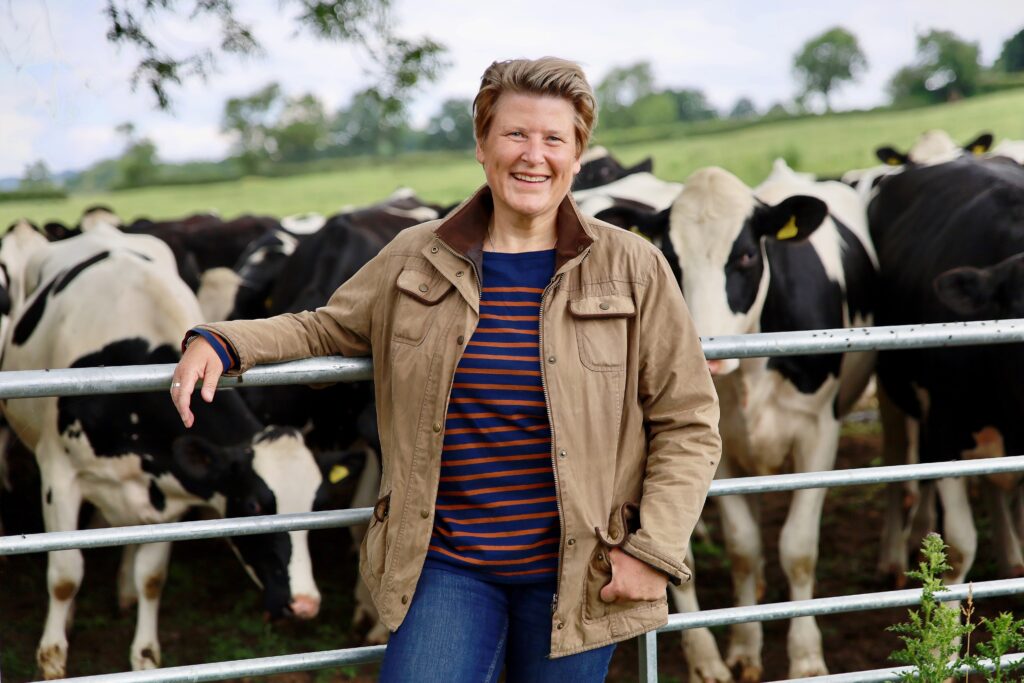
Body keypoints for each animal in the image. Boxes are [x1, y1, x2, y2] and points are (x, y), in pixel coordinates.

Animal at [1, 229, 339, 679]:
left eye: (319, 506)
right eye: (253, 504)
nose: (303, 604)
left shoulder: (168, 498)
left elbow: (152, 578)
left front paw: (145, 658)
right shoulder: (58, 476)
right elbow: (65, 574)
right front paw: (52, 660)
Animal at [667, 163, 876, 679]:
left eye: (744, 255)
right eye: (671, 258)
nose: (702, 351)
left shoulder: (819, 435)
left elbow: (797, 549)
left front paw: (805, 657)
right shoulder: (720, 451)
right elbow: (744, 548)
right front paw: (744, 646)